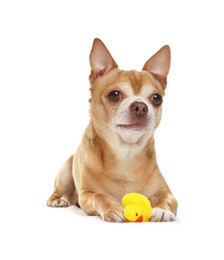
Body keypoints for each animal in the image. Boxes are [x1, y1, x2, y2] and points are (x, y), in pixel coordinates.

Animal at [47, 38, 178, 221]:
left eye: (156, 98)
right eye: (114, 95)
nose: (140, 107)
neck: (125, 155)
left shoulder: (167, 193)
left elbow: (167, 200)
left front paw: (161, 210)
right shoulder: (86, 194)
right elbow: (99, 196)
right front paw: (113, 208)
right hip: (65, 171)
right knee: (57, 192)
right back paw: (59, 200)